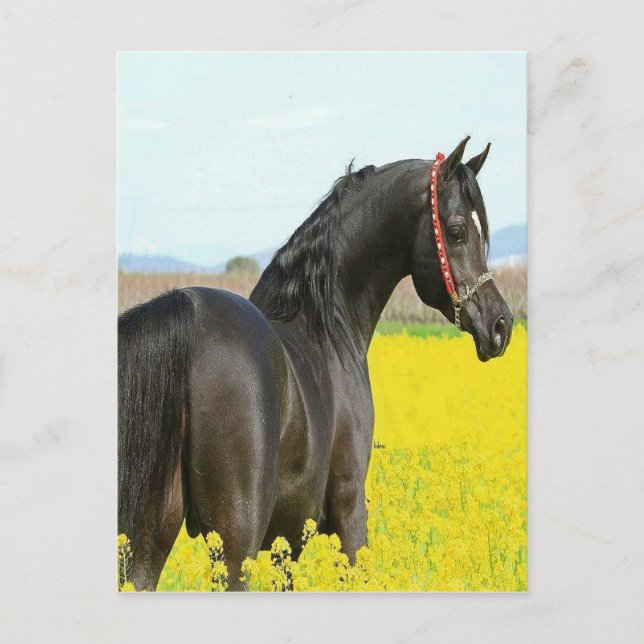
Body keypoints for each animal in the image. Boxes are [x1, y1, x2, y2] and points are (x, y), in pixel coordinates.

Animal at [118, 136, 513, 591]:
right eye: (457, 231)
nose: (501, 325)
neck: (326, 327)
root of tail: (188, 314)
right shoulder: (349, 511)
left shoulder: (286, 541)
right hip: (235, 541)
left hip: (149, 538)